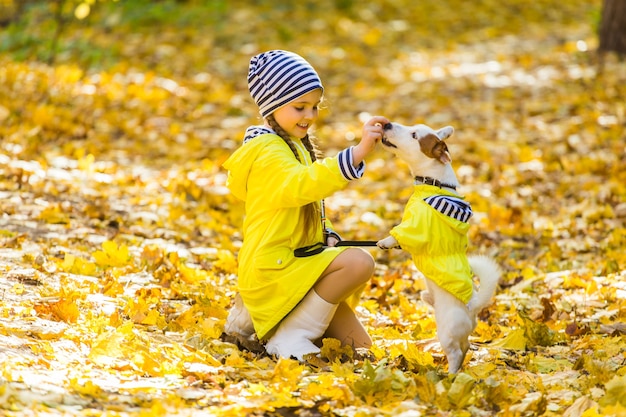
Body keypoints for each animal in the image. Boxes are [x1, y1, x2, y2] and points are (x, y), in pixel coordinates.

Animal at [372, 122, 500, 372]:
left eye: (414, 135)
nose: (387, 123)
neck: (435, 184)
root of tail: (472, 307)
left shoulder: (416, 226)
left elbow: (399, 233)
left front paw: (385, 241)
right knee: (466, 347)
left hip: (446, 332)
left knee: (456, 353)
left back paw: (449, 375)